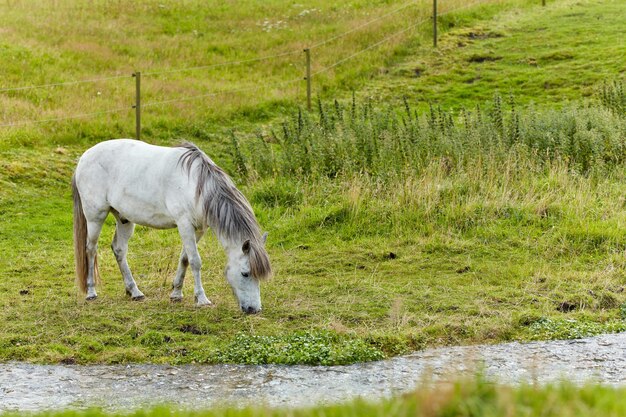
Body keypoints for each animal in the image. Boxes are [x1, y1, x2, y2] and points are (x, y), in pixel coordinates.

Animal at [71, 138, 270, 314]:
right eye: (245, 273)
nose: (254, 310)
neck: (196, 186)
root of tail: (84, 157)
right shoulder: (184, 224)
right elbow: (195, 261)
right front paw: (201, 299)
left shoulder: (198, 229)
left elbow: (185, 259)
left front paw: (176, 293)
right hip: (95, 217)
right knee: (90, 249)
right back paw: (91, 292)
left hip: (124, 218)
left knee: (119, 250)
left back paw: (134, 291)